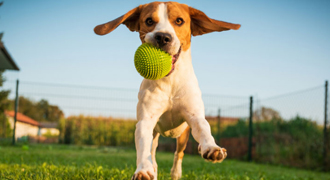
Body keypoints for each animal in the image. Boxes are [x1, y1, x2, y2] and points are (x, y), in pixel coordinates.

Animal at [94, 1, 241, 180]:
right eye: (149, 21)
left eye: (179, 21)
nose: (163, 37)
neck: (170, 81)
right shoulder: (146, 121)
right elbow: (143, 148)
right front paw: (143, 170)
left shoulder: (194, 116)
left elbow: (204, 129)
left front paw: (211, 148)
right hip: (155, 134)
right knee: (153, 154)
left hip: (183, 134)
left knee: (179, 153)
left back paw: (178, 171)